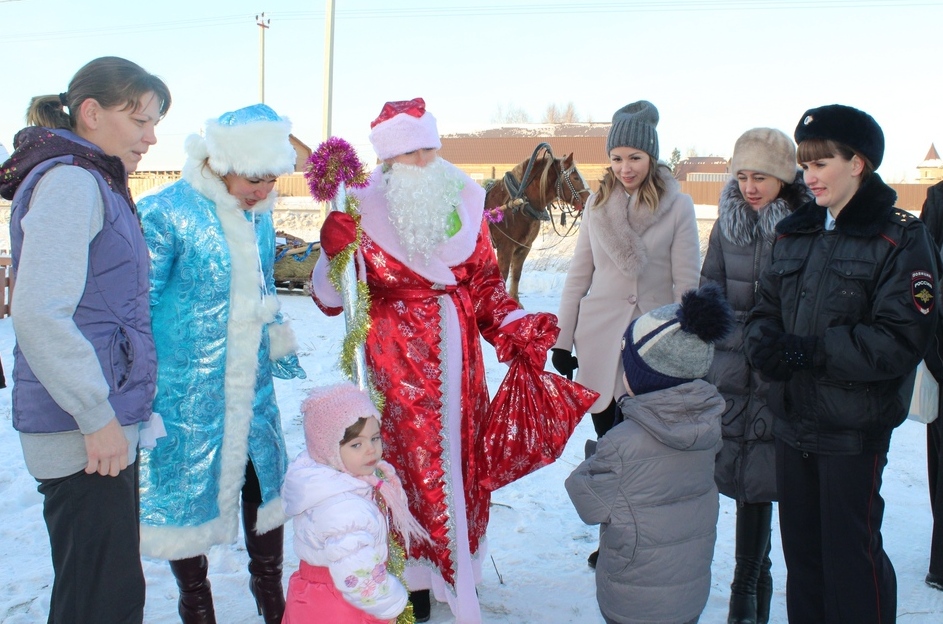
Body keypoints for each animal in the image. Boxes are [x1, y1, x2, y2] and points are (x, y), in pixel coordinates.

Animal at [486, 145, 592, 304]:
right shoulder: (505, 247)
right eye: (575, 177)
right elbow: (503, 275)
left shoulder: (524, 247)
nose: (590, 199)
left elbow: (516, 274)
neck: (518, 204)